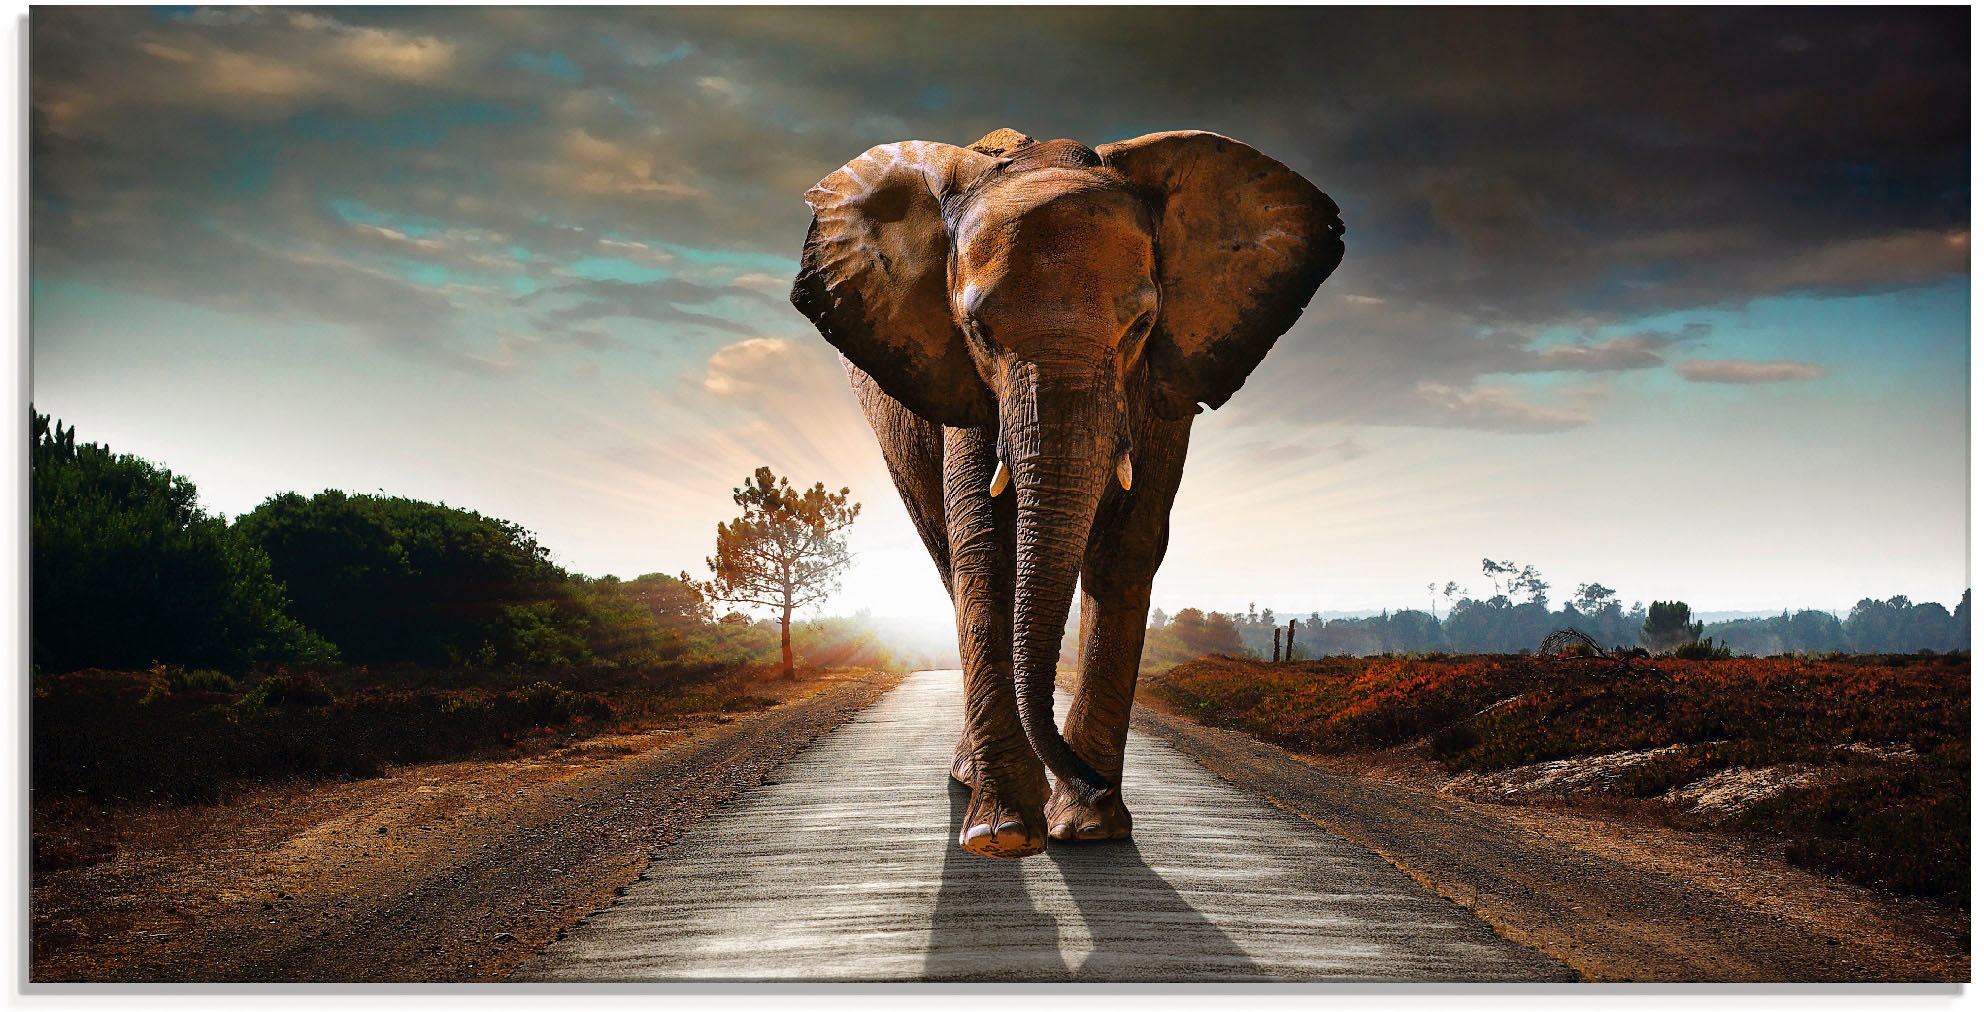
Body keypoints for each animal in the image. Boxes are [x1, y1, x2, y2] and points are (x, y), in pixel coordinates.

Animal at [789, 127, 1344, 858]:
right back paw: (974, 783)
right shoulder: (965, 385)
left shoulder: (1162, 381)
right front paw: (1003, 835)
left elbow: (1126, 548)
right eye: (979, 332)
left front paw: (1088, 827)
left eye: (1140, 326)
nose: (1090, 781)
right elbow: (986, 549)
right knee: (947, 558)